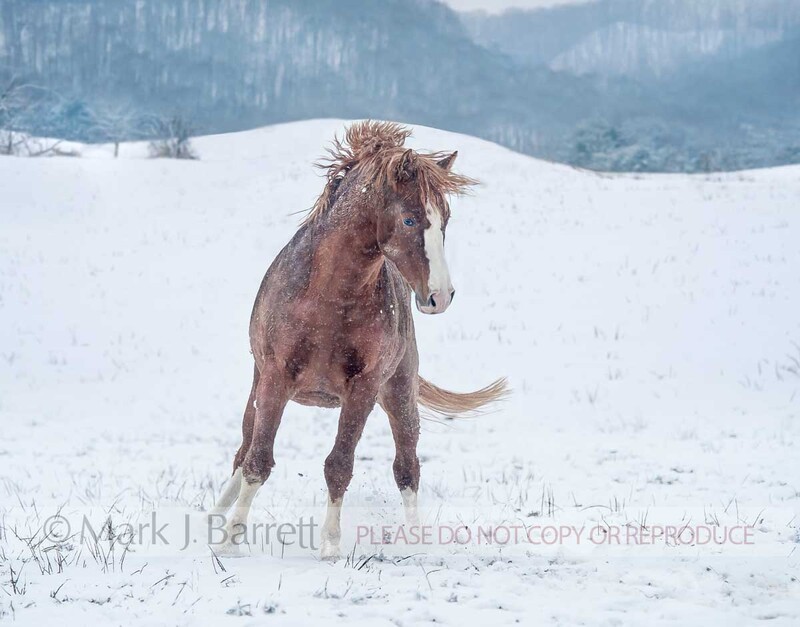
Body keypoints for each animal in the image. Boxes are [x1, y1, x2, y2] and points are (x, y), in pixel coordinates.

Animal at [211, 121, 507, 559]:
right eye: (410, 220)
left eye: (446, 220)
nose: (440, 296)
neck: (328, 297)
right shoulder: (275, 379)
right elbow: (257, 460)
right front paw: (231, 538)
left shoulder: (363, 389)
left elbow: (340, 465)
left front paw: (330, 545)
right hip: (258, 388)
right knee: (243, 449)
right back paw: (215, 516)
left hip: (400, 396)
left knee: (407, 468)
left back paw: (415, 540)